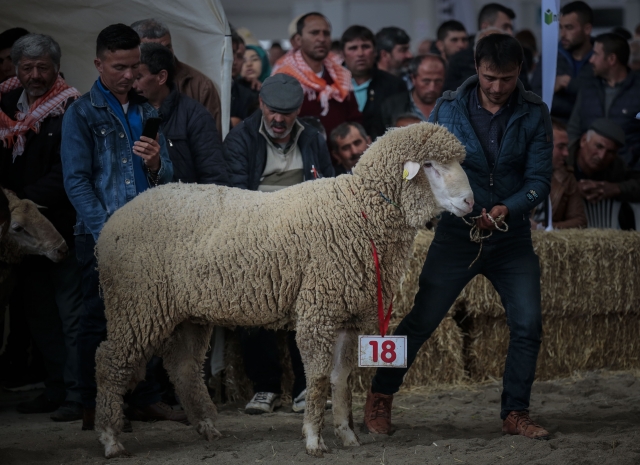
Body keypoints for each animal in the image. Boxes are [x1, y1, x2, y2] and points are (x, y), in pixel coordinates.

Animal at [96, 122, 476, 456]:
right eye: (430, 165)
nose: (471, 203)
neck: (359, 211)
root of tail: (114, 219)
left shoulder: (347, 315)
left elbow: (341, 380)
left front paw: (347, 435)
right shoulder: (319, 311)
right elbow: (318, 378)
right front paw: (314, 440)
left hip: (186, 314)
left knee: (183, 367)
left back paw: (207, 427)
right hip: (135, 303)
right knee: (110, 362)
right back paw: (111, 439)